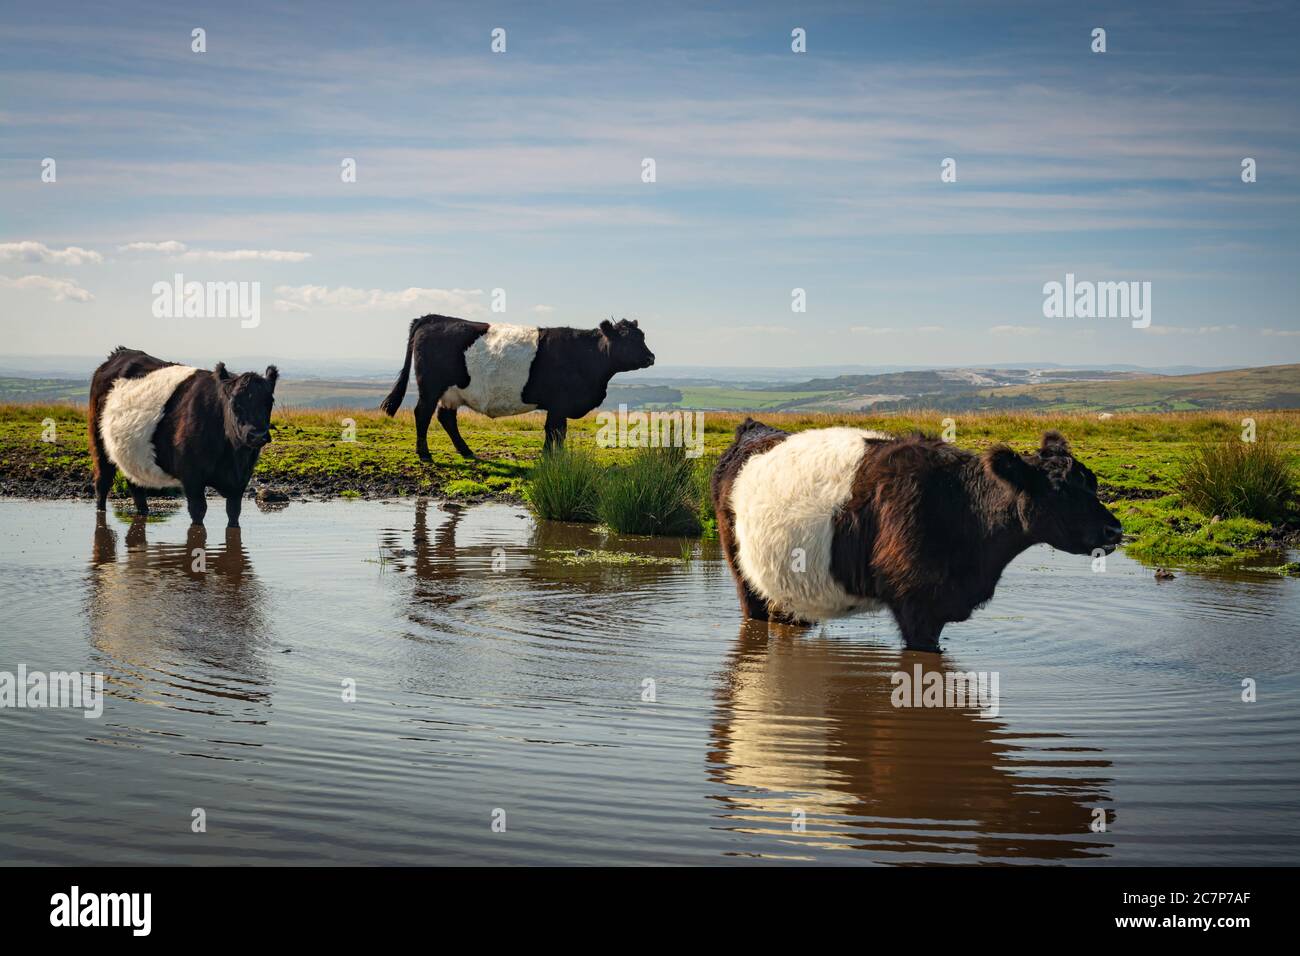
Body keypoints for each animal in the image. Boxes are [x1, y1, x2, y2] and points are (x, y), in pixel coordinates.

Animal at [88, 345, 279, 528]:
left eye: (269, 402)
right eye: (234, 403)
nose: (257, 435)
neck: (233, 456)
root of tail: (120, 352)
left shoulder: (239, 483)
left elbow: (233, 514)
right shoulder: (192, 478)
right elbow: (198, 513)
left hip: (131, 452)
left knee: (136, 486)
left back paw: (143, 512)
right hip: (99, 443)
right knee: (102, 483)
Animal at [379, 314, 655, 460]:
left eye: (642, 336)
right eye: (628, 339)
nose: (651, 357)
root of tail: (432, 318)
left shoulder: (559, 406)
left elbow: (557, 431)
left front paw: (555, 457)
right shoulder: (559, 404)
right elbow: (554, 431)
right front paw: (550, 458)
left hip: (452, 392)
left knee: (446, 417)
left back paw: (466, 452)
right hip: (431, 387)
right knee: (423, 413)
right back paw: (424, 453)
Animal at [707, 421, 1123, 655]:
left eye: (1093, 483)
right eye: (1059, 489)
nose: (1114, 530)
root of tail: (754, 430)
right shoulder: (917, 604)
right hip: (742, 572)